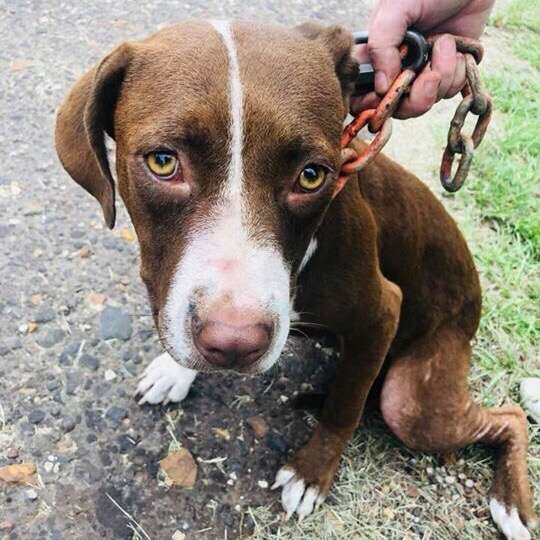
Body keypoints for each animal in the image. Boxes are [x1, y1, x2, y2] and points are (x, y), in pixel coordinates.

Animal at [54, 19, 536, 536]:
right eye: (163, 161)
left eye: (311, 175)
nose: (234, 345)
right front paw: (175, 369)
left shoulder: (381, 313)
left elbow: (343, 406)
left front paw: (312, 472)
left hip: (414, 397)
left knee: (506, 417)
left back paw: (511, 504)